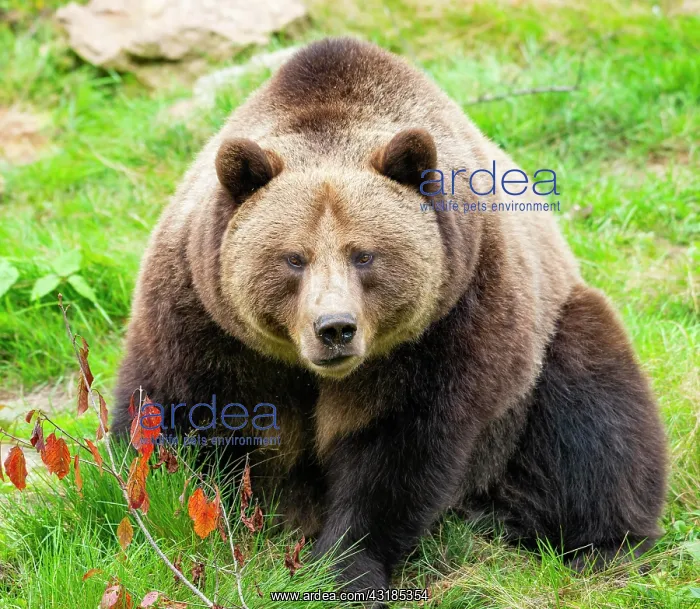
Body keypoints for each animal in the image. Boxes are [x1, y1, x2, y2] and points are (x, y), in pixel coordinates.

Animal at [113, 37, 667, 598]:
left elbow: (397, 454)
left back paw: (602, 545)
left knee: (594, 422)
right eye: (294, 257)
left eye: (364, 255)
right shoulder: (204, 320)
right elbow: (174, 424)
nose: (335, 328)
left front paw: (344, 569)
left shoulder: (447, 320)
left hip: (541, 352)